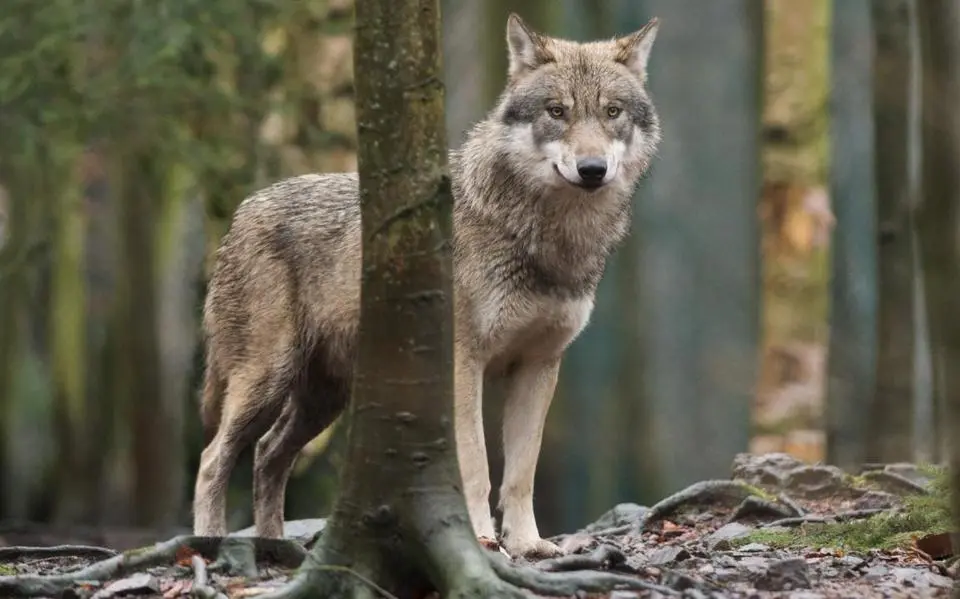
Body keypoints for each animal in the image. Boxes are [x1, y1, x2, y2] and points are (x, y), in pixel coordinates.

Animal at [192, 13, 661, 559]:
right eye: (557, 111)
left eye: (612, 112)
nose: (592, 169)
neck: (547, 238)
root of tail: (242, 211)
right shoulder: (464, 363)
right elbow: (476, 465)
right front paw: (480, 539)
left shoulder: (539, 365)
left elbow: (521, 472)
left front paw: (528, 545)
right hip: (267, 380)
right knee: (212, 459)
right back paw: (209, 545)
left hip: (323, 399)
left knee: (268, 455)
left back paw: (275, 549)